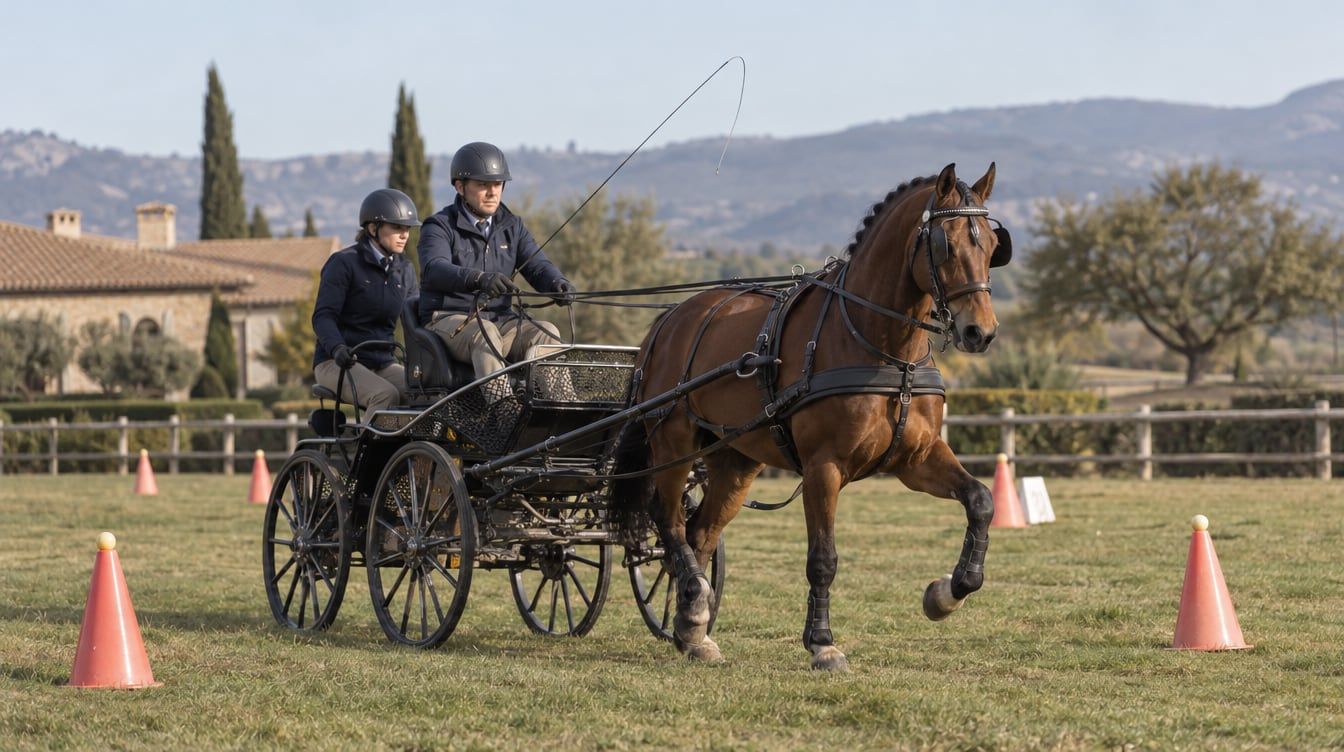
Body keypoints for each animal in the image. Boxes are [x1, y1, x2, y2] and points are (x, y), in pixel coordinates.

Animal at [612, 162, 1012, 671]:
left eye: (994, 246)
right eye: (947, 243)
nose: (981, 332)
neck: (882, 349)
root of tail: (668, 320)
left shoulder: (915, 459)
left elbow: (980, 500)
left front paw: (945, 594)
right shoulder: (825, 467)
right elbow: (823, 557)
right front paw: (823, 643)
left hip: (736, 458)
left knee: (700, 532)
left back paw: (693, 628)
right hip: (673, 444)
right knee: (669, 523)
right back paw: (694, 605)